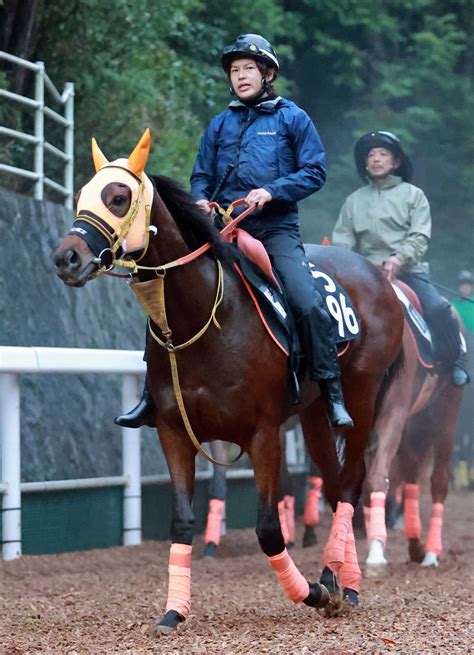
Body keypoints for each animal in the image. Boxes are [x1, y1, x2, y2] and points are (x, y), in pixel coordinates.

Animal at [52, 129, 404, 636]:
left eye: (118, 197)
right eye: (81, 194)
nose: (67, 257)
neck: (206, 313)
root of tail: (380, 278)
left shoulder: (263, 434)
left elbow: (268, 529)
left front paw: (314, 595)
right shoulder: (174, 431)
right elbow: (182, 521)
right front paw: (174, 611)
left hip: (361, 395)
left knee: (353, 482)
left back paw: (347, 585)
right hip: (313, 415)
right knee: (337, 484)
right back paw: (333, 574)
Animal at [364, 286, 464, 568]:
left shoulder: (392, 414)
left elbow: (378, 476)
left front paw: (376, 553)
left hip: (445, 416)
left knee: (438, 481)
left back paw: (430, 552)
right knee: (410, 477)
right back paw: (415, 544)